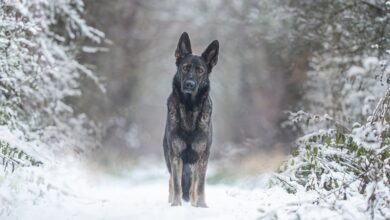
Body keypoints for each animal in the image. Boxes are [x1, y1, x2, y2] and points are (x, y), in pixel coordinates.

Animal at [162, 31, 219, 207]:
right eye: (185, 68)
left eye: (200, 70)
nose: (189, 84)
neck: (189, 108)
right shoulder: (175, 156)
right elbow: (176, 184)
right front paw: (175, 205)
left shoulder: (202, 157)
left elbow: (199, 186)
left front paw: (201, 205)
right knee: (172, 182)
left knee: (193, 185)